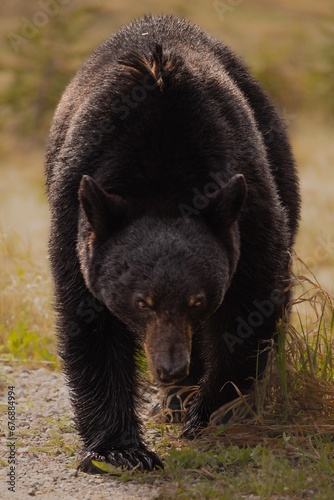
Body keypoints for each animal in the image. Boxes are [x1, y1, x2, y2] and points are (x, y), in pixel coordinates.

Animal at [45, 13, 300, 470]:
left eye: (198, 300)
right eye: (141, 302)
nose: (169, 368)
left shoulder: (247, 201)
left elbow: (251, 302)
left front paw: (210, 413)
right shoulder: (76, 210)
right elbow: (89, 321)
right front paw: (122, 449)